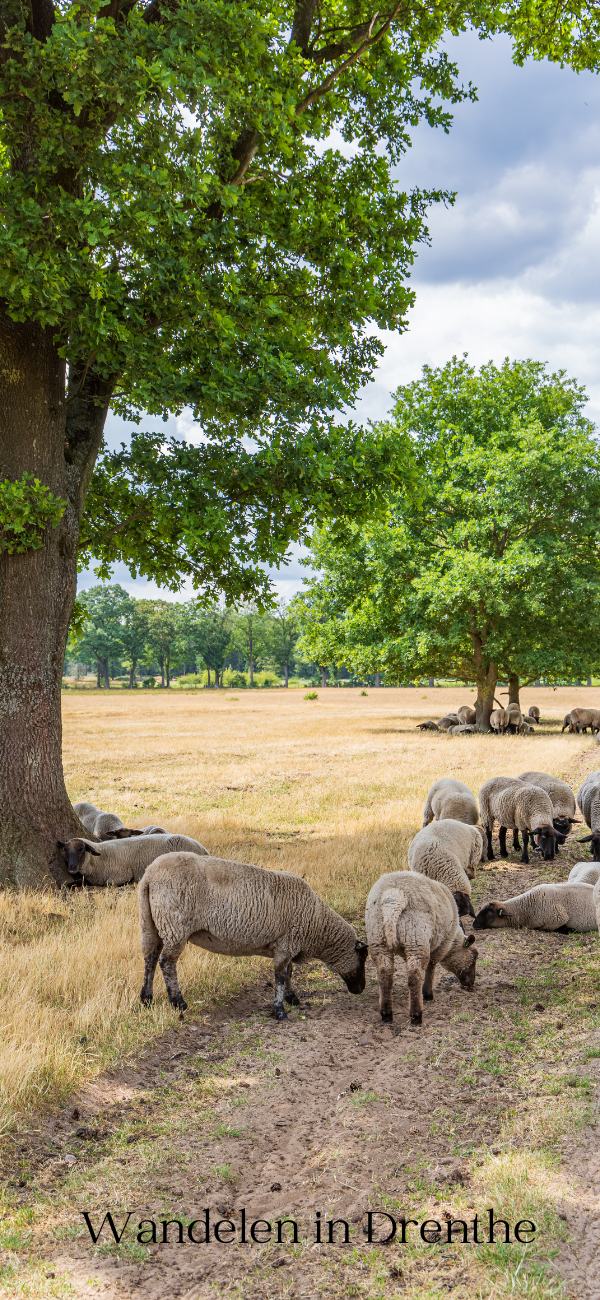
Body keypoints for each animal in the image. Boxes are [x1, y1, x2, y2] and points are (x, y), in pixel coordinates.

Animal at [56, 832, 206, 883]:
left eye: (81, 849)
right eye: (65, 850)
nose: (72, 868)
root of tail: (202, 848)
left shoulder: (122, 874)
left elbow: (110, 882)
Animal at [138, 847, 368, 1019]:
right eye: (363, 958)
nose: (361, 989)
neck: (318, 925)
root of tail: (149, 875)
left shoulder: (286, 945)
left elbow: (289, 972)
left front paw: (291, 998)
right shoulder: (286, 944)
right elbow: (280, 977)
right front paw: (280, 1010)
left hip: (151, 924)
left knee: (150, 959)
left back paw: (146, 999)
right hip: (175, 926)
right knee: (166, 963)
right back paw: (178, 1002)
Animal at [363, 873, 480, 1024]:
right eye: (474, 956)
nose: (471, 984)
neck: (453, 940)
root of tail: (394, 897)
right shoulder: (440, 946)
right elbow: (431, 967)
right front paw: (427, 994)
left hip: (378, 938)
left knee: (384, 974)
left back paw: (386, 1014)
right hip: (416, 938)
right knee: (414, 976)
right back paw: (416, 1015)